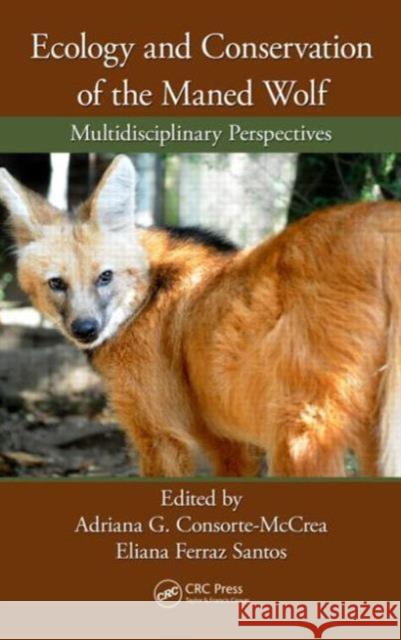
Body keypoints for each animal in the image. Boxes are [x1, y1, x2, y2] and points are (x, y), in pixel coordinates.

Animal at [0, 155, 400, 476]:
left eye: (105, 277)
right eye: (57, 283)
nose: (85, 329)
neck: (147, 294)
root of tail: (383, 227)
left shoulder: (160, 433)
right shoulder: (226, 442)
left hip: (299, 434)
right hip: (370, 432)